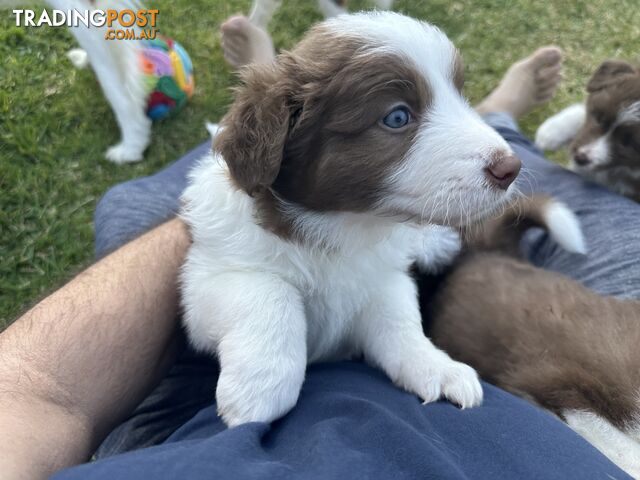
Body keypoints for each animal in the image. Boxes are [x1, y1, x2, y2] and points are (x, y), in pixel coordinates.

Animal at [179, 11, 520, 426]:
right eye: (397, 117)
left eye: (459, 96)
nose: (511, 168)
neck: (345, 226)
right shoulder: (206, 279)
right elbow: (270, 292)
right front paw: (260, 386)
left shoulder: (383, 277)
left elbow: (401, 320)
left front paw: (436, 367)